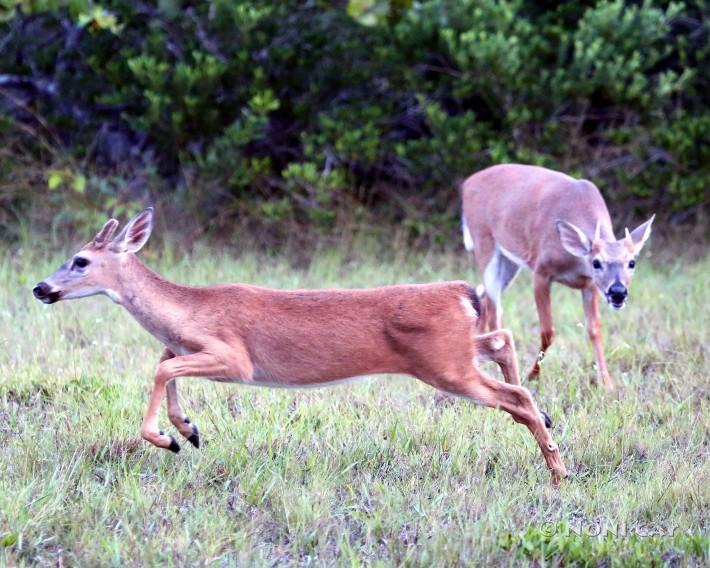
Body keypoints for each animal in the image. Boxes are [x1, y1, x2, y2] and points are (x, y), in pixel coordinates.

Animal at [32, 209, 572, 484]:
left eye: (80, 260)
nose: (40, 287)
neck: (190, 310)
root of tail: (461, 292)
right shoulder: (193, 348)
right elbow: (165, 360)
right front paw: (189, 429)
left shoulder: (237, 359)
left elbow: (162, 367)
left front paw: (169, 438)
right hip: (455, 353)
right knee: (501, 341)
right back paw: (548, 424)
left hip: (445, 367)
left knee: (514, 395)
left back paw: (558, 468)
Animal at [462, 164, 656, 390]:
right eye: (596, 262)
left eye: (632, 262)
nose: (618, 292)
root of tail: (467, 183)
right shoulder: (541, 270)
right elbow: (548, 331)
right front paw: (532, 375)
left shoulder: (590, 285)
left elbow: (594, 329)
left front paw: (607, 384)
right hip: (484, 241)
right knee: (495, 310)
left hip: (509, 261)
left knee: (481, 294)